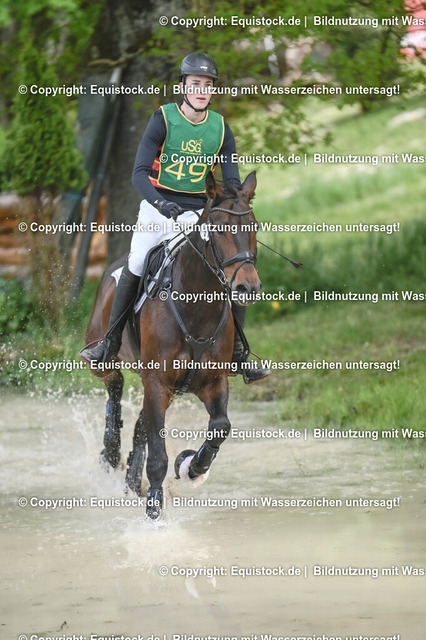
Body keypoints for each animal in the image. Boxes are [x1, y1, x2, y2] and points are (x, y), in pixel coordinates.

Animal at [81, 170, 261, 519]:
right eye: (219, 229)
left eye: (254, 227)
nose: (248, 287)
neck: (197, 304)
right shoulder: (157, 382)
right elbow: (158, 454)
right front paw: (154, 509)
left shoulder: (212, 382)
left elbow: (220, 427)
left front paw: (192, 467)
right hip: (102, 356)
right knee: (114, 383)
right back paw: (111, 452)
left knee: (140, 422)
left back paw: (131, 476)